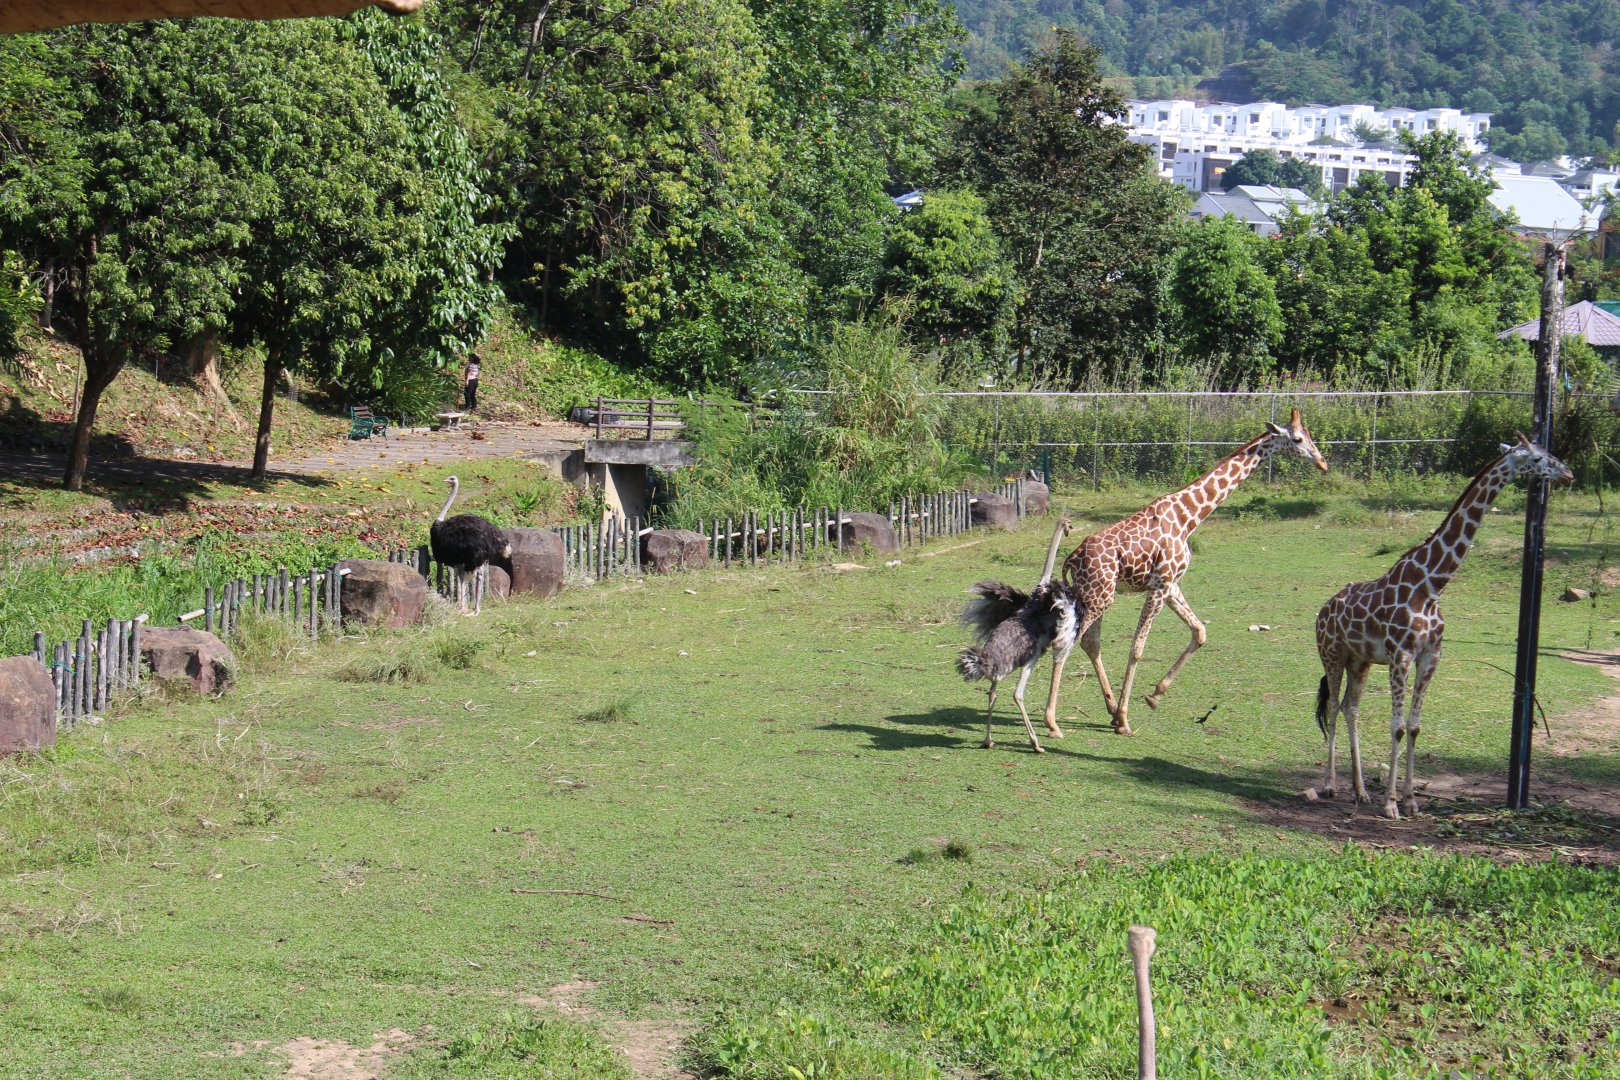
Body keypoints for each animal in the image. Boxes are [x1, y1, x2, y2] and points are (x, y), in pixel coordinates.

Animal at [1044, 409, 1329, 737]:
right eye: (1297, 439)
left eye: (1309, 436)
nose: (1322, 462)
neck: (1188, 517)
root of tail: (1071, 560)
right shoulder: (1160, 586)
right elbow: (1137, 648)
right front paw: (1127, 720)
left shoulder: (1170, 585)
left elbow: (1200, 631)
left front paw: (1154, 696)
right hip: (1097, 597)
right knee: (1066, 644)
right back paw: (1054, 722)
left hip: (1099, 596)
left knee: (1090, 643)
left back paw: (1110, 709)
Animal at [1315, 436, 1572, 819]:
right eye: (1538, 459)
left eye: (1549, 451)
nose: (1567, 472)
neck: (1432, 586)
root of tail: (1322, 610)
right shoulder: (1401, 656)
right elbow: (1397, 727)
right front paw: (1391, 804)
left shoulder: (1431, 656)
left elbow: (1415, 726)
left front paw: (1410, 800)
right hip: (1331, 654)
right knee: (1333, 705)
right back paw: (1331, 786)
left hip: (1359, 661)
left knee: (1351, 708)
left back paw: (1360, 792)